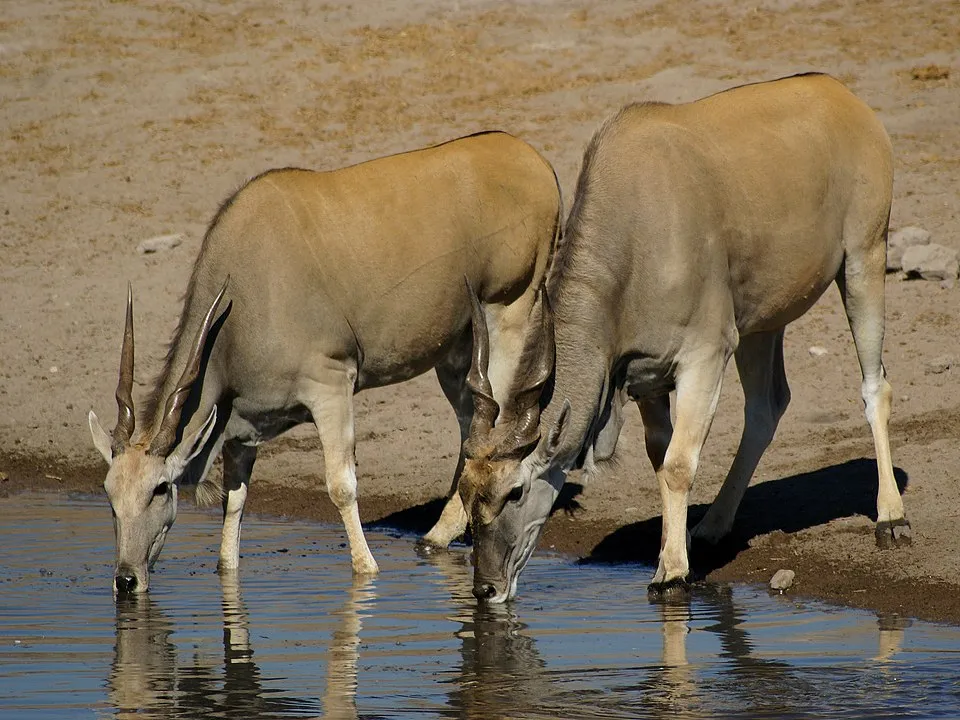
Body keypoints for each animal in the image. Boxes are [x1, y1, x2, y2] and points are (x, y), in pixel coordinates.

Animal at [88, 131, 561, 595]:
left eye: (160, 489)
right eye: (109, 495)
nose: (126, 579)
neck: (244, 290)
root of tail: (534, 161)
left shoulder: (331, 385)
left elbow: (341, 486)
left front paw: (367, 567)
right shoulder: (243, 426)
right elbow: (235, 500)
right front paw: (227, 567)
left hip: (507, 313)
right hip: (458, 348)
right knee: (469, 424)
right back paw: (437, 536)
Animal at [458, 74, 911, 603]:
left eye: (515, 491)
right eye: (466, 492)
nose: (486, 589)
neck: (637, 232)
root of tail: (842, 95)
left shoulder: (704, 358)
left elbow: (677, 465)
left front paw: (671, 571)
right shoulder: (646, 379)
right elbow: (661, 459)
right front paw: (677, 550)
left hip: (864, 259)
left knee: (875, 387)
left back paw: (891, 517)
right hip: (762, 322)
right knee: (767, 405)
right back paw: (712, 527)